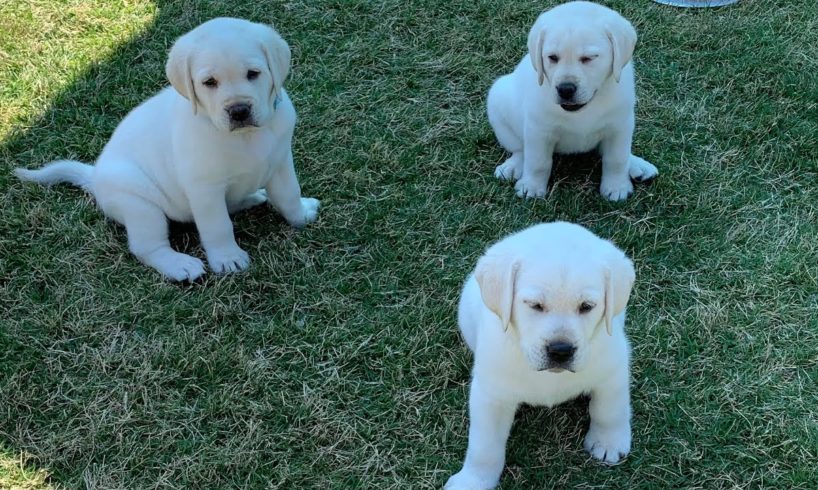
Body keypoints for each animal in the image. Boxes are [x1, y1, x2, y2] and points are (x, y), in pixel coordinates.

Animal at [18, 17, 318, 282]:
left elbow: (289, 195)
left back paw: (251, 197)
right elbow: (218, 226)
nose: (239, 110)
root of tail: (94, 176)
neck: (246, 138)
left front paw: (301, 214)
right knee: (147, 247)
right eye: (209, 82)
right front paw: (227, 258)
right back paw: (179, 265)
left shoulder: (280, 163)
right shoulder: (204, 189)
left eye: (253, 74)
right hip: (140, 206)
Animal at [444, 223, 636, 490]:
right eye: (534, 305)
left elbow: (610, 409)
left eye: (587, 306)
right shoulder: (491, 394)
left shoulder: (613, 368)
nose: (560, 350)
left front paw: (608, 442)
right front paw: (473, 480)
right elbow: (485, 446)